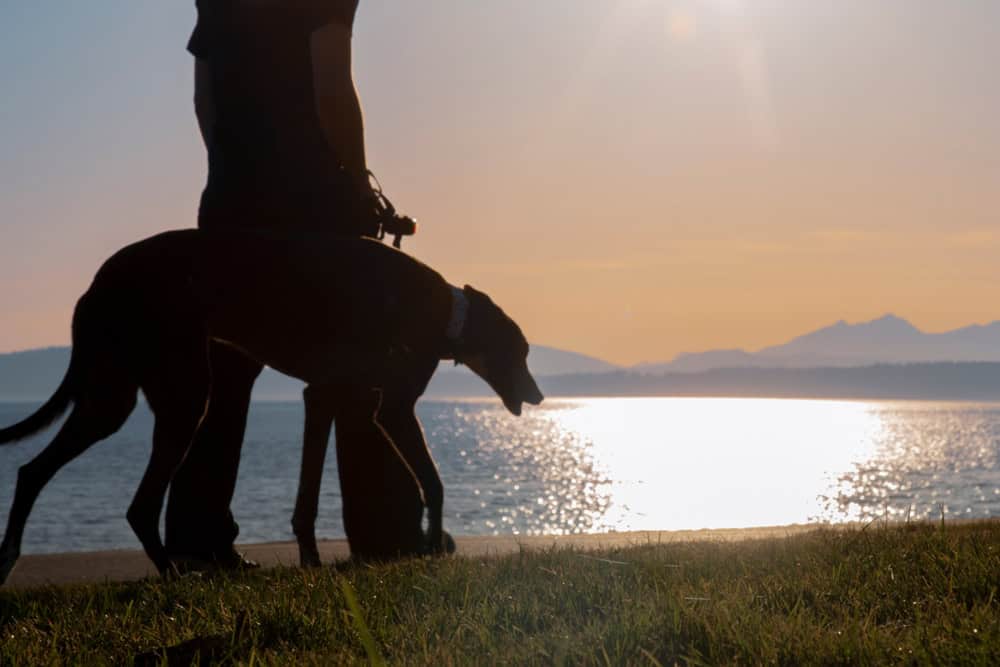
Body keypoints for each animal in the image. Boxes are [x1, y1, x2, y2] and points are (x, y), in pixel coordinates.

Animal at [0, 231, 544, 584]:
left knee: (31, 471)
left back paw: (10, 558)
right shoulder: (390, 410)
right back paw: (174, 575)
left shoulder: (323, 397)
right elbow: (432, 481)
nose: (538, 395)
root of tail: (97, 284)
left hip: (110, 400)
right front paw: (431, 547)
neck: (440, 310)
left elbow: (308, 496)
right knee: (140, 504)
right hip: (184, 398)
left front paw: (311, 561)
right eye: (520, 351)